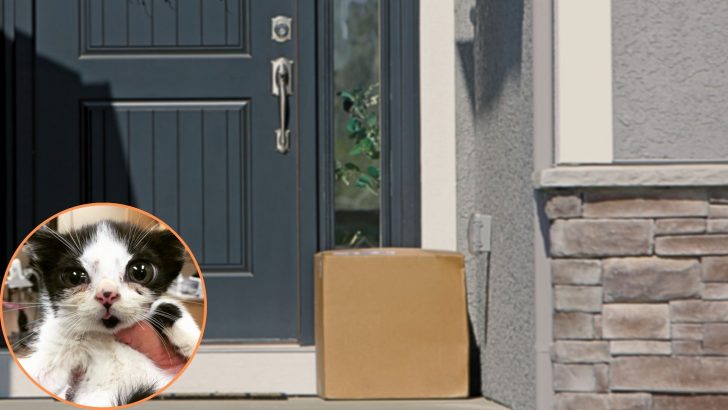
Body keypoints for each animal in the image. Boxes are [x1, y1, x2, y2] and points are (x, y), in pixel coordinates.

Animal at [20, 219, 202, 406]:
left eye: (140, 271)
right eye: (74, 276)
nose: (107, 294)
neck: (106, 337)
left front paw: (188, 336)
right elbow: (39, 374)